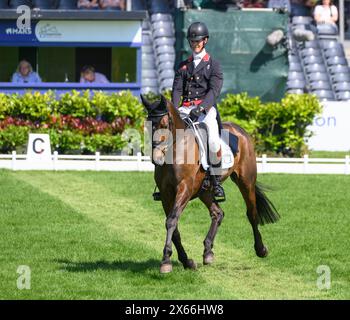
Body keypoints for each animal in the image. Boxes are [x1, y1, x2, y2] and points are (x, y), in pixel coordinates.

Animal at [139, 94, 278, 274]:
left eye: (164, 125)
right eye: (148, 126)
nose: (156, 157)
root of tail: (239, 130)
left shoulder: (184, 189)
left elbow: (171, 220)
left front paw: (166, 261)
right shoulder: (165, 194)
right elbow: (174, 226)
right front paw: (187, 261)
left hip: (246, 182)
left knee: (252, 213)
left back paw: (260, 249)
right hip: (205, 191)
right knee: (217, 213)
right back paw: (208, 252)